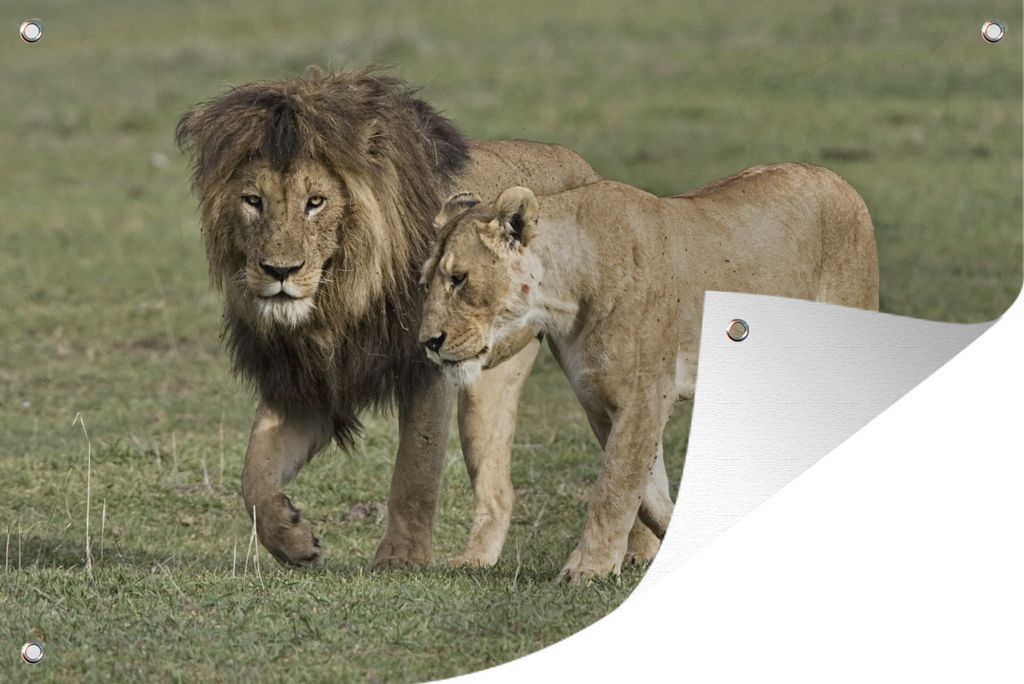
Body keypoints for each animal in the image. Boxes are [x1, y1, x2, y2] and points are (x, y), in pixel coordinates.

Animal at [175, 69, 603, 568]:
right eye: (252, 200)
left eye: (315, 202)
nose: (281, 271)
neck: (338, 303)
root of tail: (585, 167)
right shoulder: (307, 382)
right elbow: (254, 475)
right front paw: (293, 540)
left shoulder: (427, 366)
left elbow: (415, 468)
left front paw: (402, 556)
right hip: (489, 385)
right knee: (499, 491)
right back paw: (472, 564)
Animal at [418, 164, 879, 582]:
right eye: (426, 282)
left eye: (459, 279)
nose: (428, 341)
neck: (565, 292)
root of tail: (838, 180)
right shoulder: (600, 401)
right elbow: (648, 493)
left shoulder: (643, 396)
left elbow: (615, 487)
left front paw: (588, 568)